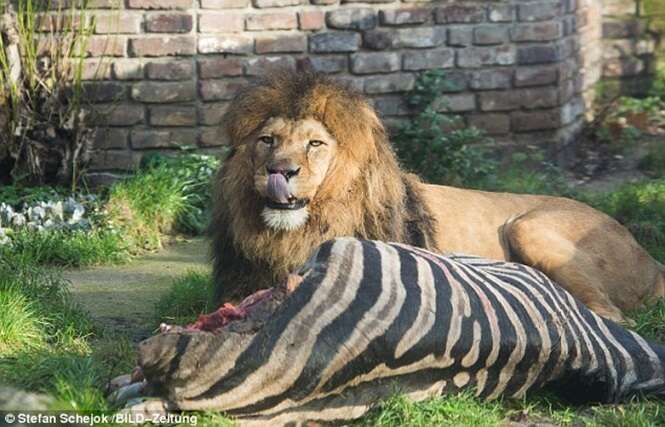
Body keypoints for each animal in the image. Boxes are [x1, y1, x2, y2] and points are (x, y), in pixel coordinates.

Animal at [211, 70, 664, 324]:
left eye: (315, 144)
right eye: (268, 141)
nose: (279, 171)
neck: (295, 234)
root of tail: (651, 261)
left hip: (529, 226)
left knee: (613, 316)